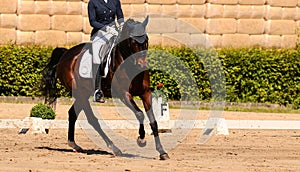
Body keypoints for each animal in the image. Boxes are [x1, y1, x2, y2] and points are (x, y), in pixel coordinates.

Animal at [41, 16, 170, 161]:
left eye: (146, 39)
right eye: (132, 41)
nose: (142, 65)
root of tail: (66, 54)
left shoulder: (145, 93)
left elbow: (153, 121)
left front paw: (162, 152)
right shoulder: (124, 94)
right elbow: (139, 114)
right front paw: (141, 139)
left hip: (83, 94)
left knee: (72, 113)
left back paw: (74, 145)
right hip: (81, 93)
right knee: (92, 120)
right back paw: (114, 148)